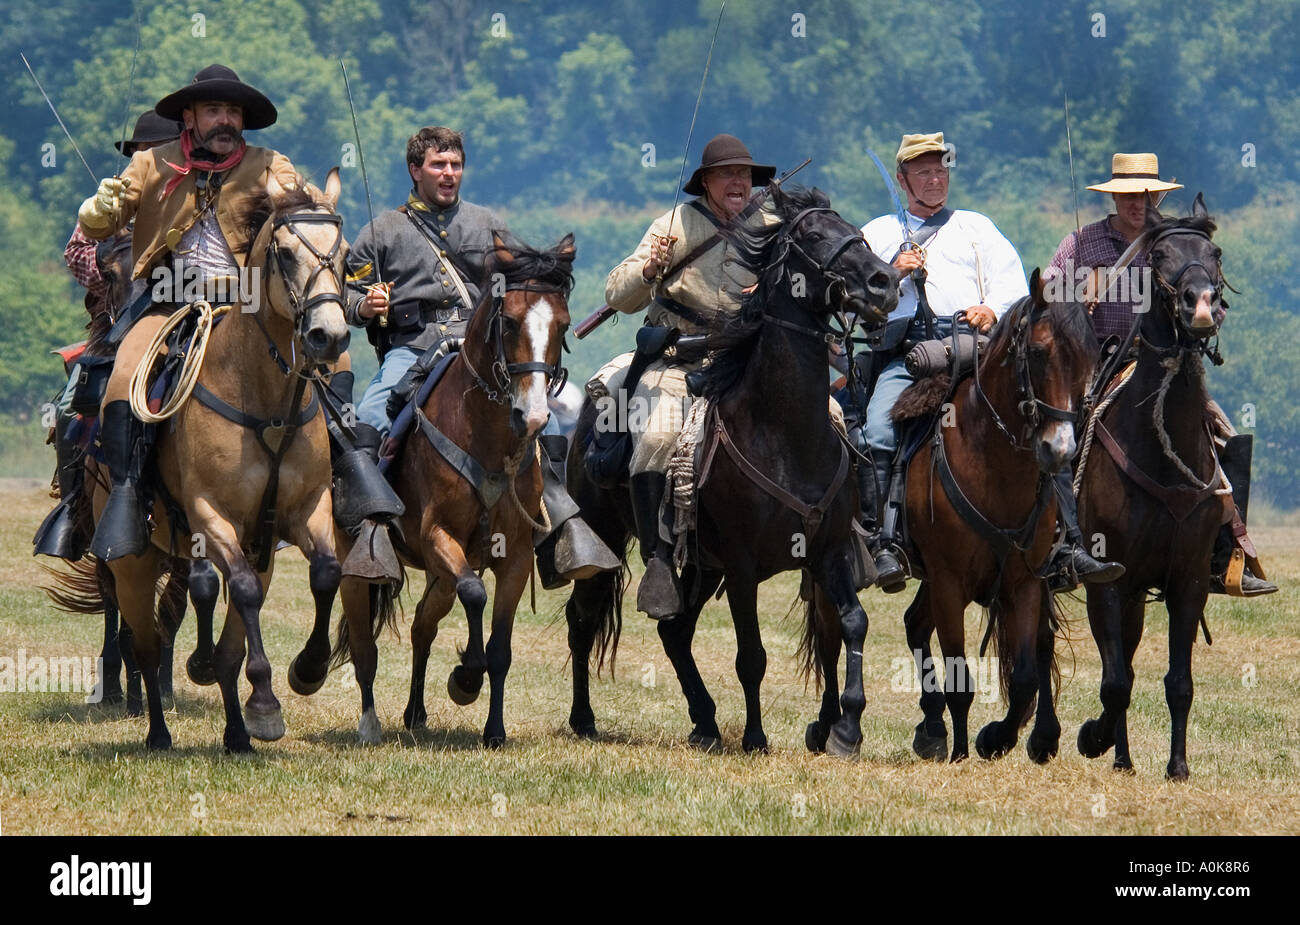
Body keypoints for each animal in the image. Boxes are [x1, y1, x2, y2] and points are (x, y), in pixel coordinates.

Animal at [50, 171, 348, 753]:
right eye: (284, 252)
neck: (262, 398)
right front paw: (266, 702)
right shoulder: (212, 517)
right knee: (143, 642)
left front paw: (306, 670)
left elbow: (325, 573)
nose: (330, 335)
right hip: (134, 560)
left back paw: (234, 733)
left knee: (207, 636)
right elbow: (241, 592)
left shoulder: (304, 512)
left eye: (344, 254)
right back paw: (156, 730)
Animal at [319, 232, 574, 753]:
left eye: (562, 324)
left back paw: (415, 712)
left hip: (438, 578)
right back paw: (368, 722)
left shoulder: (515, 557)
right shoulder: (439, 538)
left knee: (422, 625)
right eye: (510, 320)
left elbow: (500, 648)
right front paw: (465, 679)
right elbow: (475, 594)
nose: (534, 416)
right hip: (359, 568)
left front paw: (494, 729)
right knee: (364, 647)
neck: (486, 436)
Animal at [564, 185, 899, 758]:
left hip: (704, 567)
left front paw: (846, 728)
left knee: (673, 632)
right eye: (814, 235)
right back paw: (584, 718)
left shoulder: (828, 552)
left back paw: (703, 720)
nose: (885, 282)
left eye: (855, 229)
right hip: (606, 537)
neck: (782, 435)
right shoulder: (742, 568)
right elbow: (752, 656)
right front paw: (757, 737)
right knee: (583, 619)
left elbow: (852, 623)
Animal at [894, 274, 1097, 763]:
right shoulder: (949, 583)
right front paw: (962, 753)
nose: (1060, 449)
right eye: (1038, 352)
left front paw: (997, 738)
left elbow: (1024, 677)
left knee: (914, 624)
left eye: (1090, 358)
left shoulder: (1024, 582)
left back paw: (932, 728)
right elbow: (960, 679)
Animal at [1076, 194, 1237, 779]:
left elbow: (1178, 683)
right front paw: (1093, 738)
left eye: (1214, 252)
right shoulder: (1106, 580)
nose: (1202, 305)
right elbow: (1115, 681)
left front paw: (1178, 767)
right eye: (1161, 254)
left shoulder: (1186, 582)